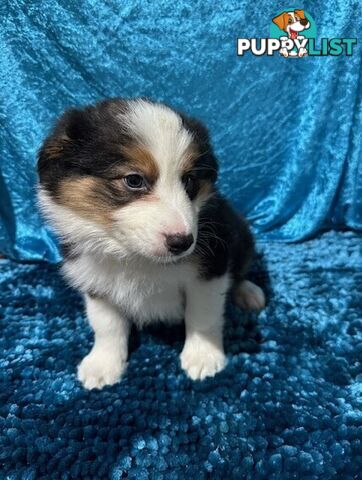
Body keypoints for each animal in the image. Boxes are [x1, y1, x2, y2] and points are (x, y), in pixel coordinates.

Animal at [37, 98, 266, 390]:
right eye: (134, 180)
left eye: (189, 180)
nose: (183, 242)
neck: (135, 257)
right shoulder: (94, 279)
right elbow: (106, 325)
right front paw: (102, 365)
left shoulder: (211, 268)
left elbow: (203, 315)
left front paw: (203, 357)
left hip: (242, 235)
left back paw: (248, 292)